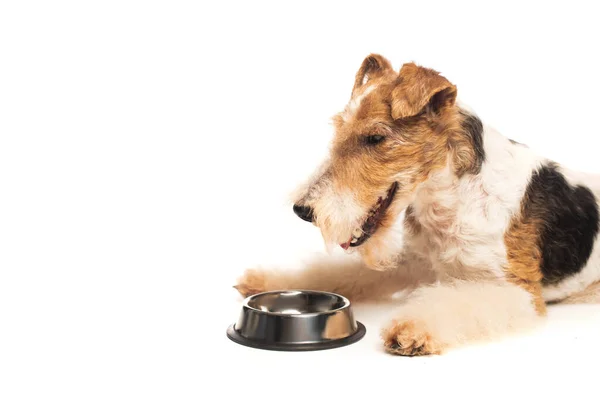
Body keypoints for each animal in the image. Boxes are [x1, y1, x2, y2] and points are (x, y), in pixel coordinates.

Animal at [233, 54, 600, 356]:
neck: (448, 200)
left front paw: (411, 330)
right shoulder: (411, 262)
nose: (303, 210)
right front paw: (264, 280)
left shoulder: (515, 289)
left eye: (376, 138)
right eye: (338, 129)